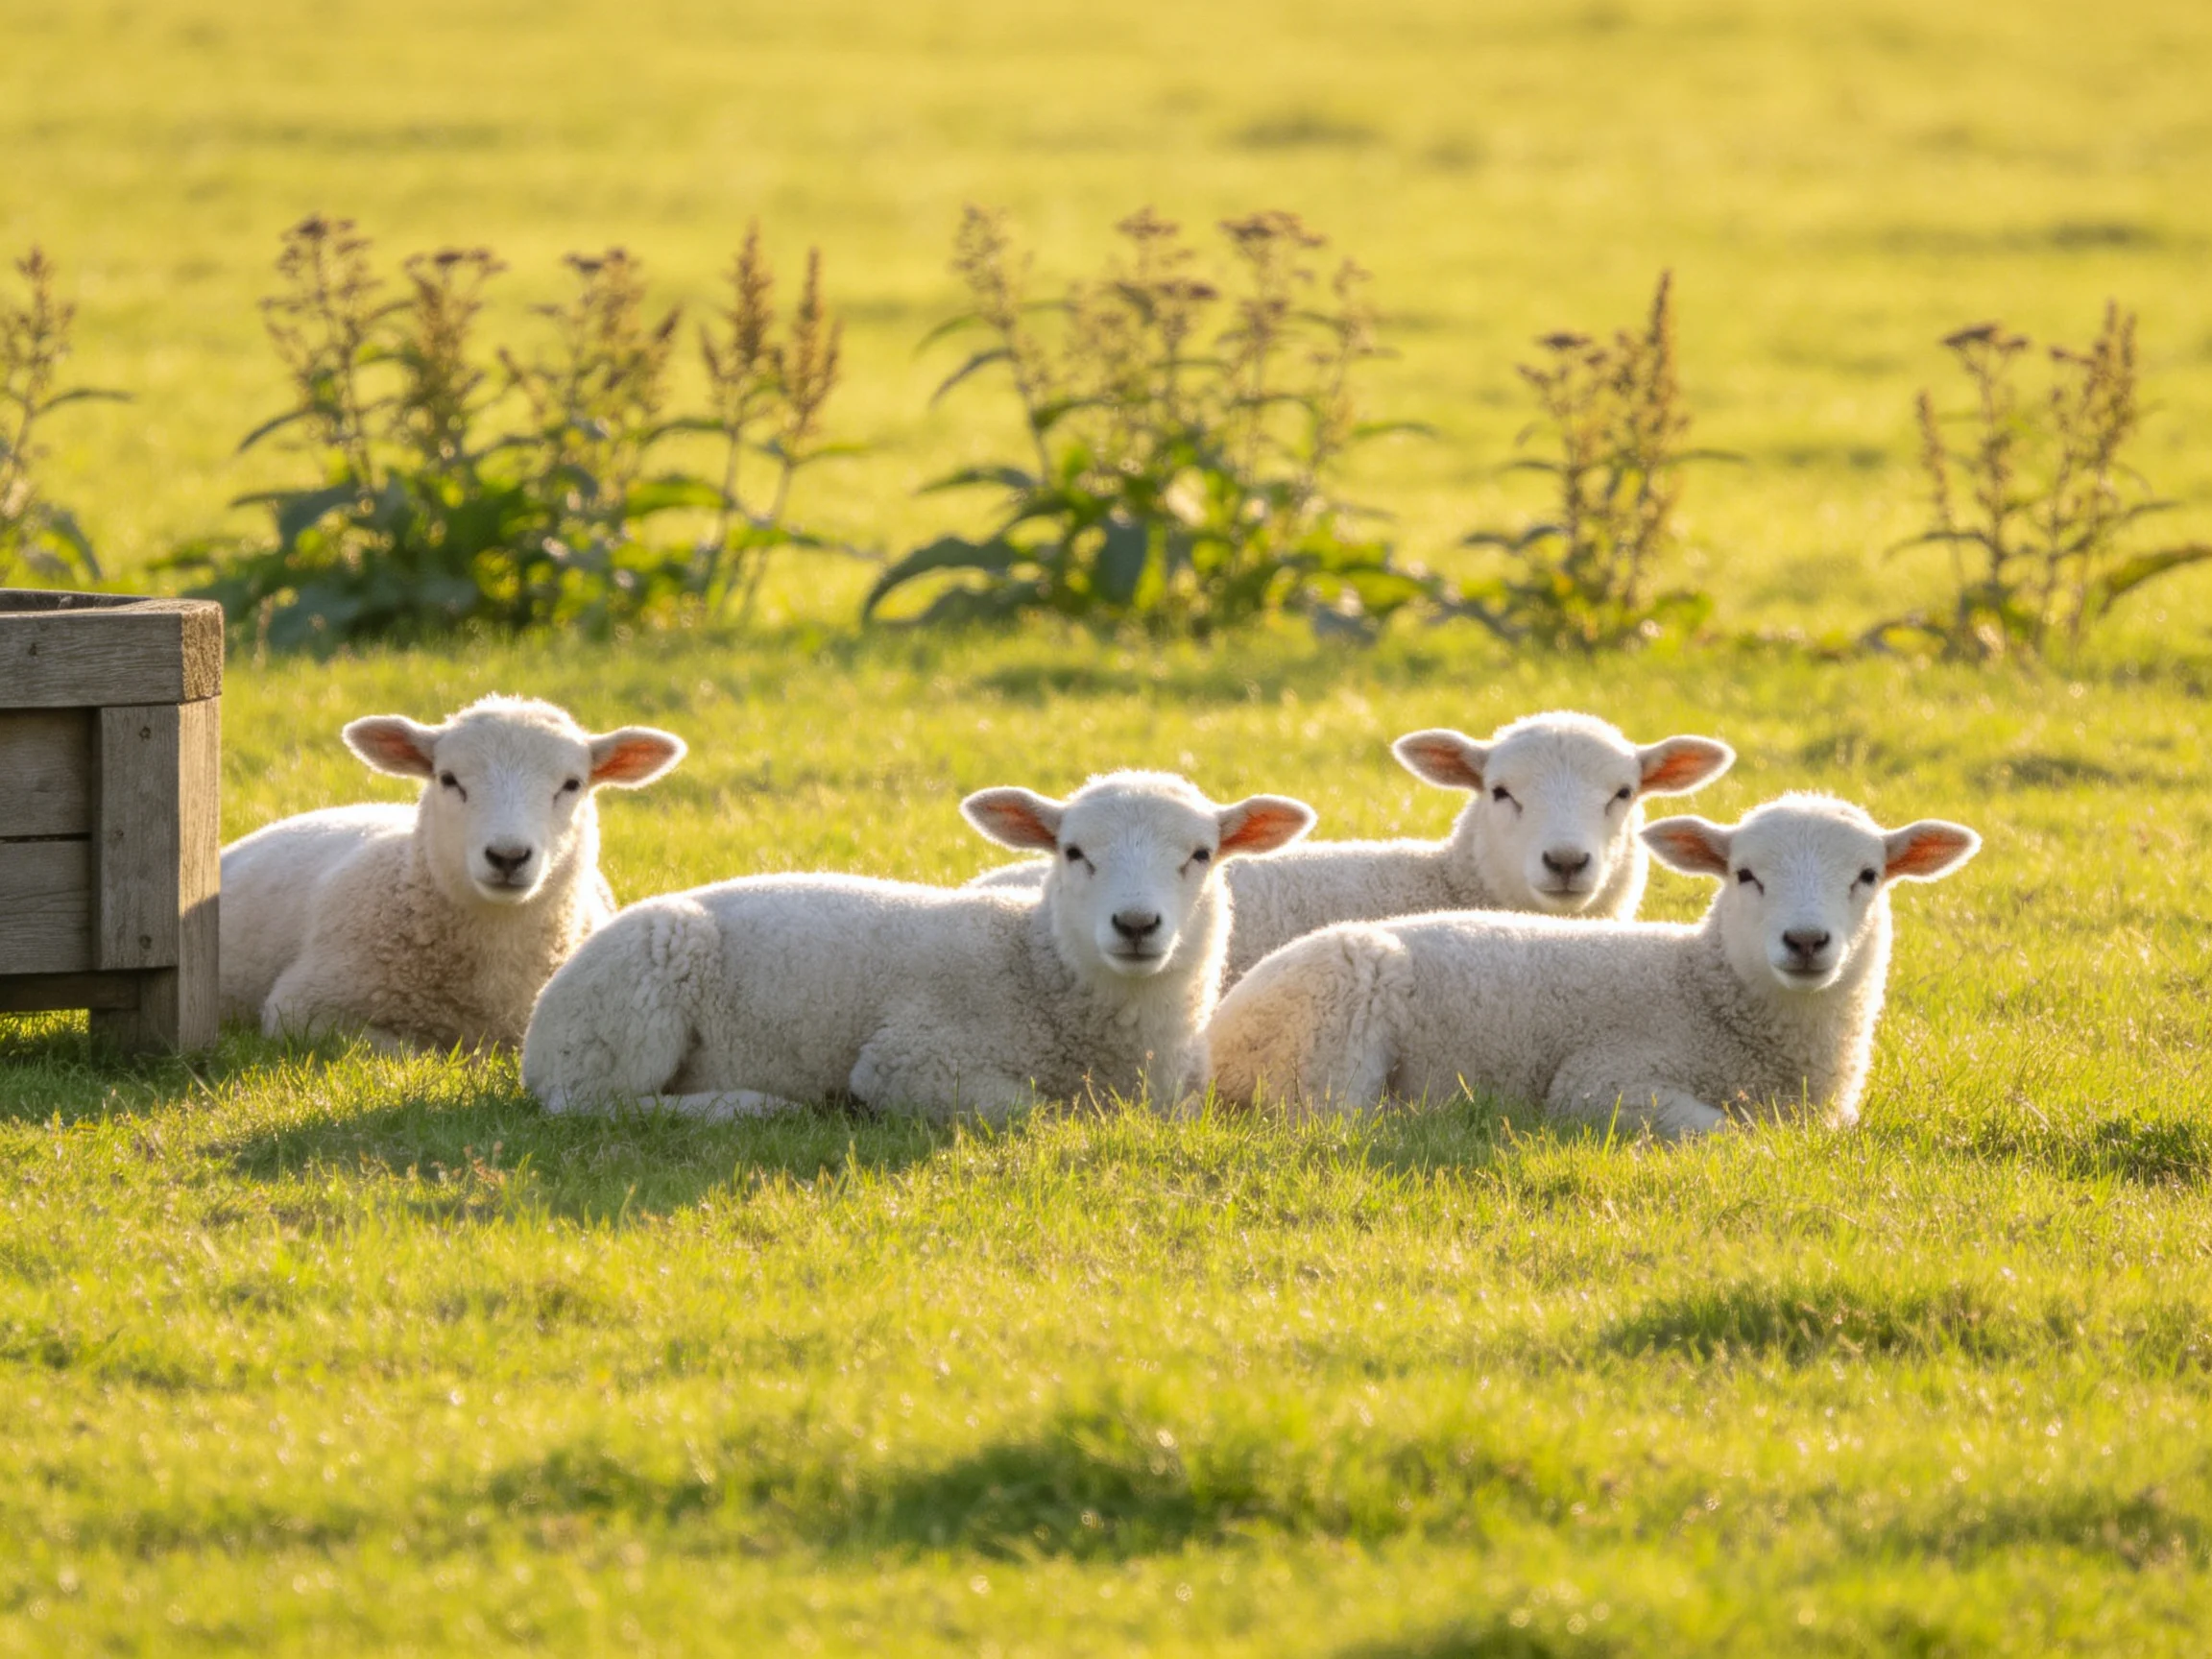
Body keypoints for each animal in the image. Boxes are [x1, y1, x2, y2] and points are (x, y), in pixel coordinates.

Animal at [520, 771, 1317, 1121]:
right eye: (1074, 852)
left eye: (1201, 855)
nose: (1136, 925)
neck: (1035, 966)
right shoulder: (911, 1060)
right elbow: (1035, 1111)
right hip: (626, 1008)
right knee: (589, 1103)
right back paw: (749, 1106)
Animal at [1206, 793, 1979, 1139]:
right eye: (1745, 875)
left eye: (1869, 876)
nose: (1807, 941)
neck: (1703, 990)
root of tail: (1219, 1024)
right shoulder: (1601, 1082)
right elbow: (1732, 1135)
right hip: (1330, 1029)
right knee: (1323, 1118)